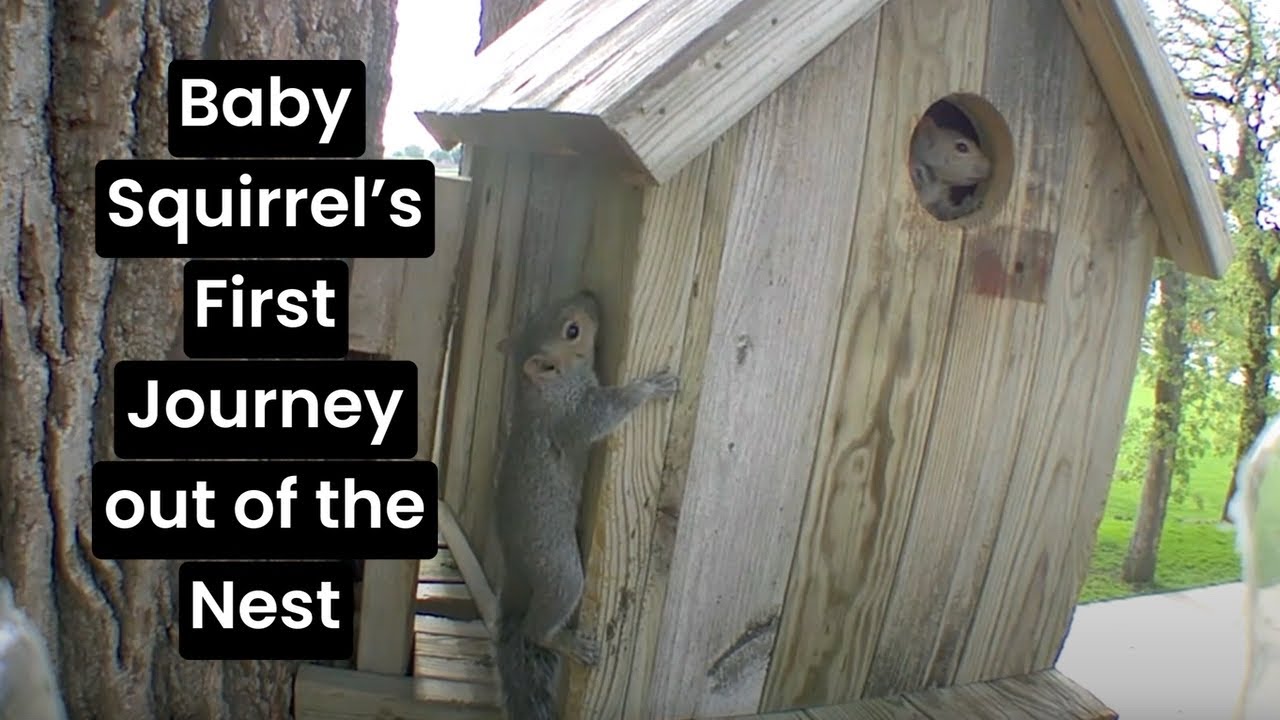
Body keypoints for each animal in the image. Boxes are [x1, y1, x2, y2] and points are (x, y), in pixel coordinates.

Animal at [491, 290, 678, 720]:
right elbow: (605, 413)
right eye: (572, 331)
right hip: (560, 573)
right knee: (537, 628)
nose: (590, 296)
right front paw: (648, 387)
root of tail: (517, 571)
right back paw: (568, 642)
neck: (544, 388)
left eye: (547, 308)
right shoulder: (572, 415)